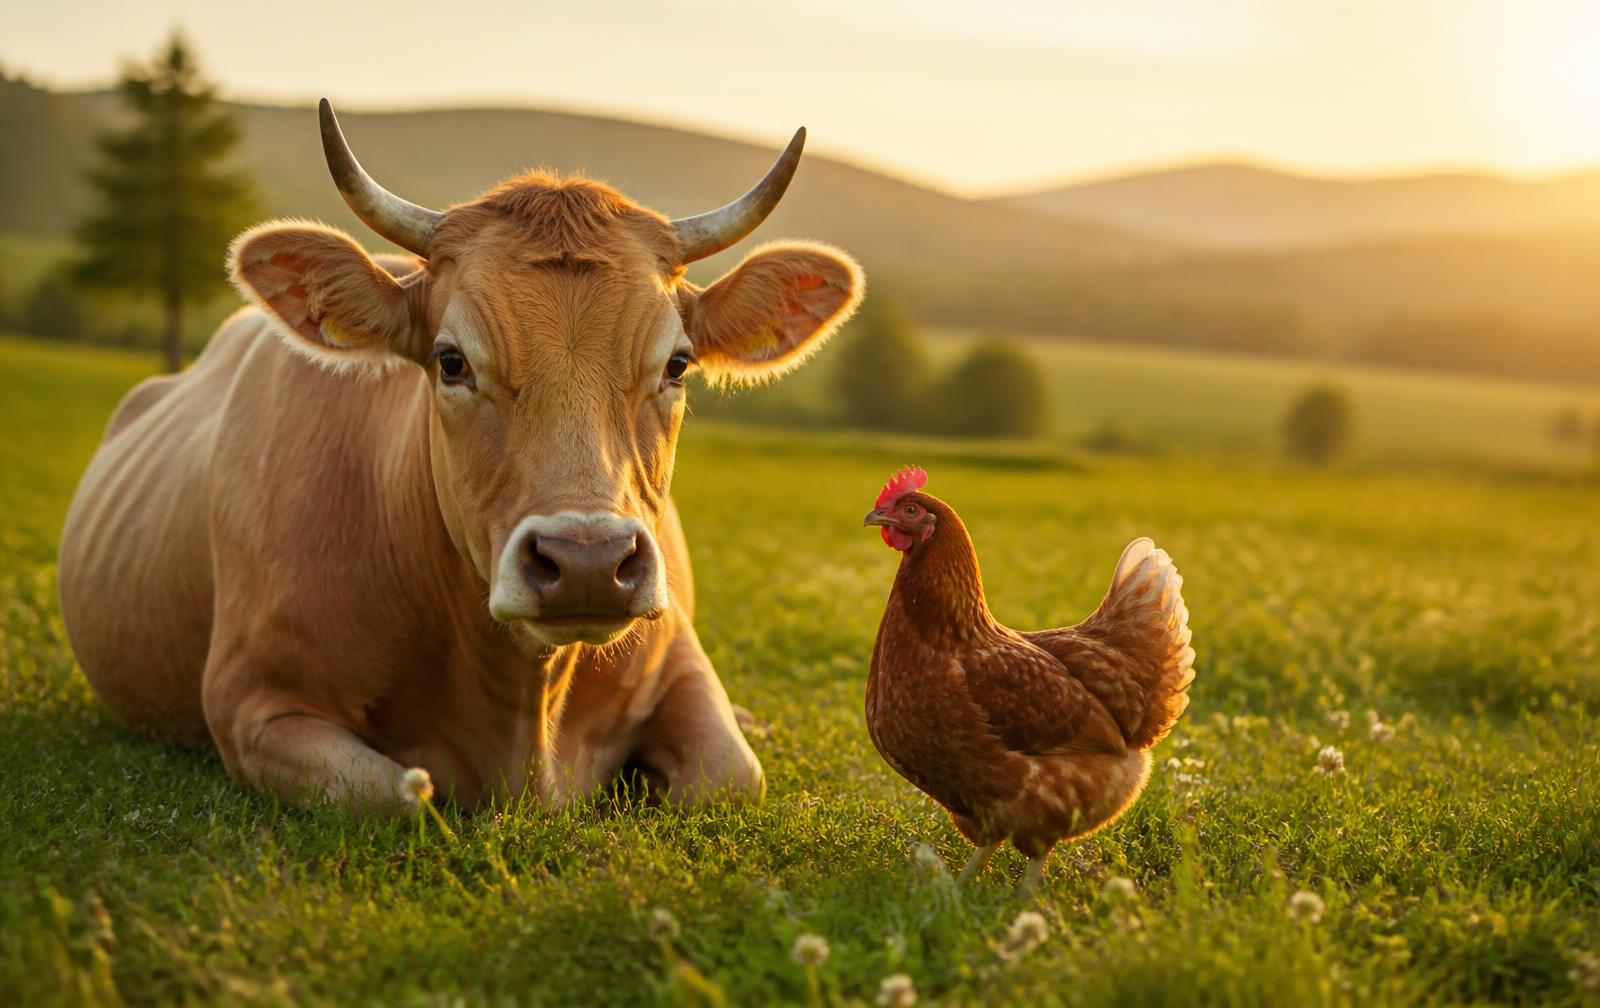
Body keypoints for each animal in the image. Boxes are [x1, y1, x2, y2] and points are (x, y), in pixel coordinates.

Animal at [57, 100, 863, 813]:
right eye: (451, 361)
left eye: (678, 364)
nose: (588, 562)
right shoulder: (250, 700)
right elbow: (400, 793)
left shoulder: (679, 664)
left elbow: (728, 779)